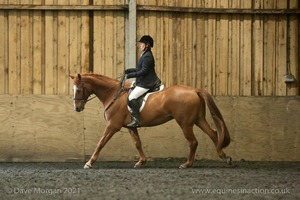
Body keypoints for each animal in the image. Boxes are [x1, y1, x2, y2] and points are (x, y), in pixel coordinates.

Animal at [70, 72, 232, 168]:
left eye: (78, 89)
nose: (77, 108)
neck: (113, 94)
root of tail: (194, 90)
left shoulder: (113, 126)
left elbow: (101, 142)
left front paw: (89, 163)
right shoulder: (131, 126)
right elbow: (138, 143)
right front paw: (141, 161)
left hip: (185, 123)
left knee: (194, 142)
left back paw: (187, 164)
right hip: (198, 119)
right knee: (214, 134)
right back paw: (224, 157)